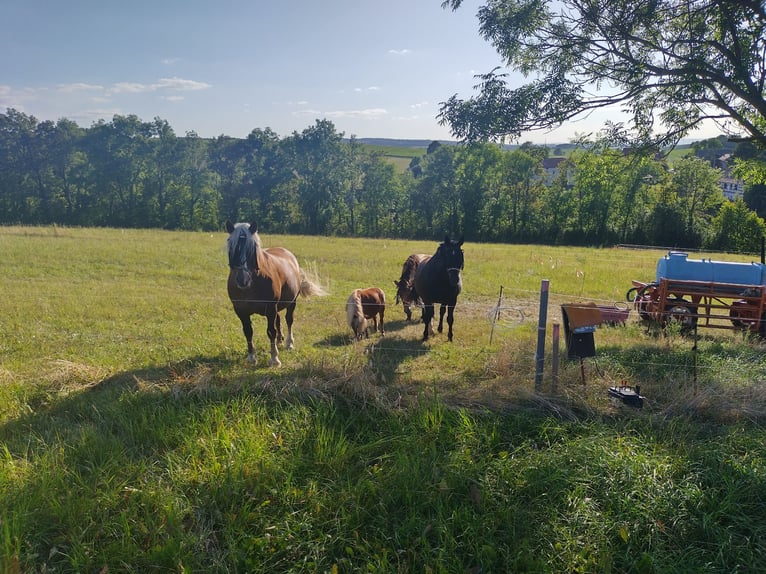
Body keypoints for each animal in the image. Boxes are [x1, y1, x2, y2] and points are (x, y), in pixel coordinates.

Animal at [225, 223, 328, 366]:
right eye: (231, 246)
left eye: (252, 248)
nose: (242, 280)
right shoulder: (241, 310)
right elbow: (248, 331)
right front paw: (251, 357)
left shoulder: (270, 308)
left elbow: (271, 331)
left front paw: (274, 358)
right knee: (278, 320)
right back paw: (280, 340)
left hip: (291, 302)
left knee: (289, 320)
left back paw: (289, 343)